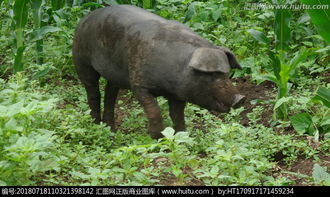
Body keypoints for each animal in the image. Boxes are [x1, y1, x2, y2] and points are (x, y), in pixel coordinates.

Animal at [73, 4, 246, 139]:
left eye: (226, 73)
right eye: (213, 75)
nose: (241, 98)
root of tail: (85, 18)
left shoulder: (178, 94)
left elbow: (177, 115)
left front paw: (182, 136)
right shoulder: (139, 84)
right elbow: (154, 110)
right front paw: (158, 137)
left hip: (115, 74)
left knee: (110, 93)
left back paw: (111, 130)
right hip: (81, 59)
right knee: (93, 92)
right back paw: (96, 125)